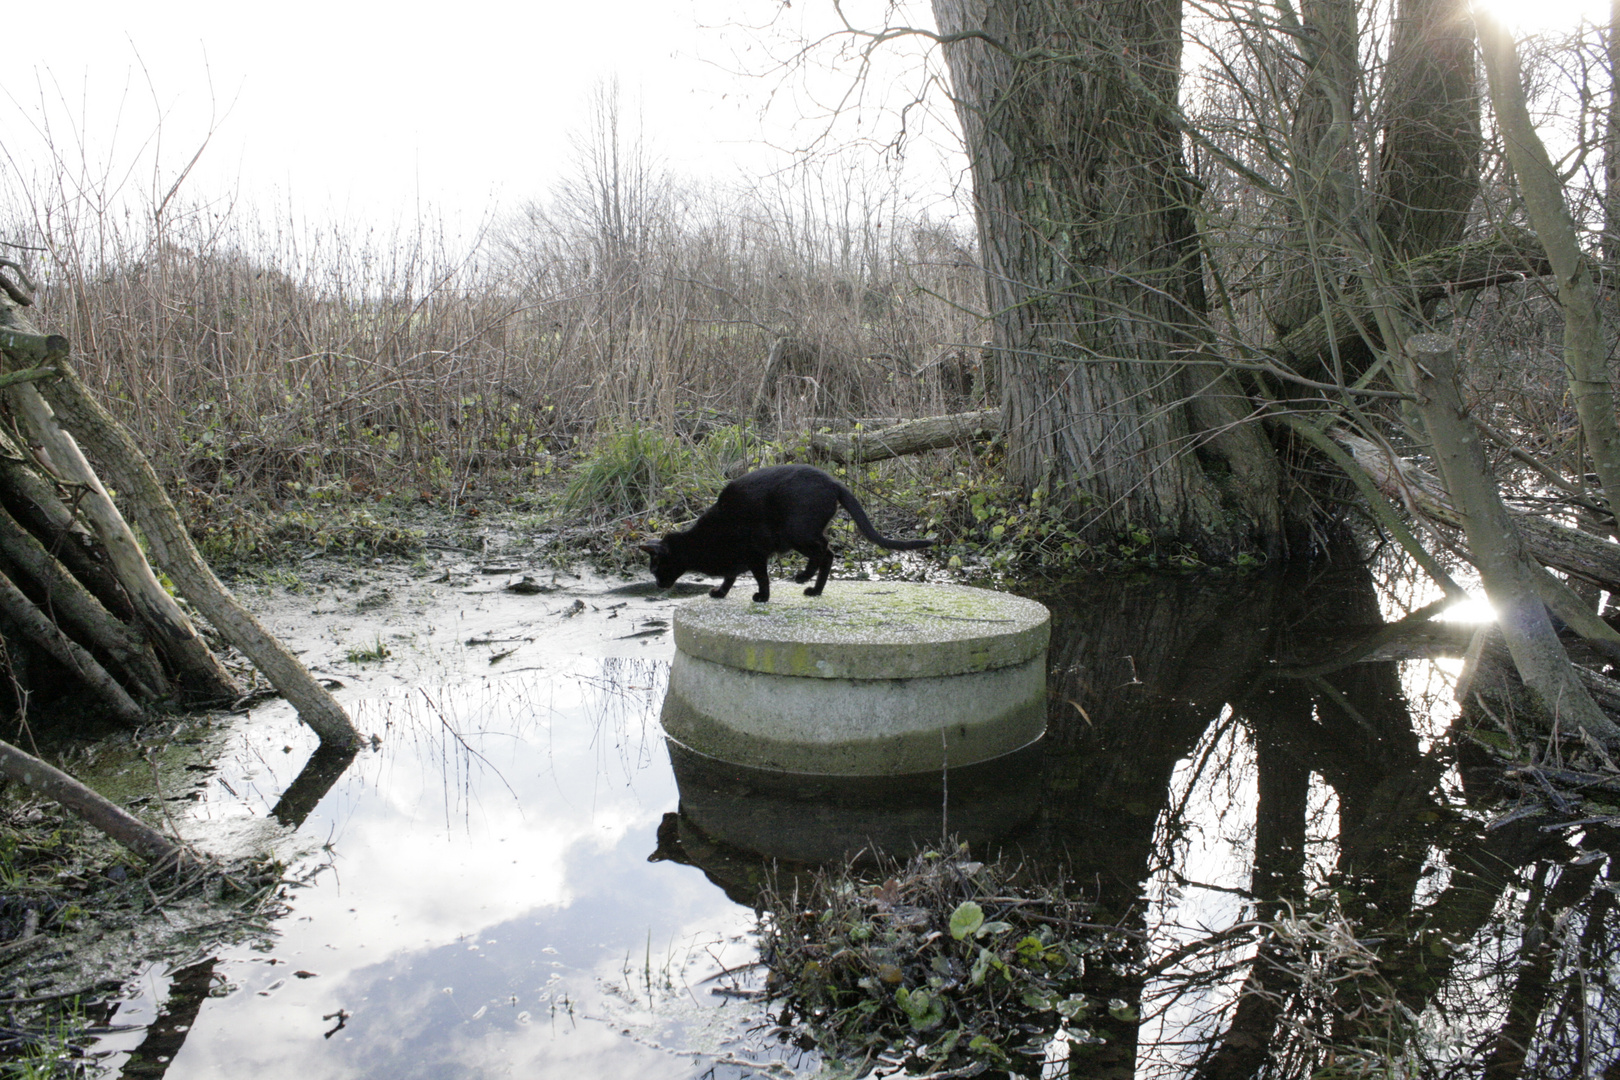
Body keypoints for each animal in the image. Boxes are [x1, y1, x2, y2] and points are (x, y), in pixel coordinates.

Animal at [638, 463, 933, 605]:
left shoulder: (756, 554)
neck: (700, 541)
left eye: (655, 569)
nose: (658, 584)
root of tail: (833, 481)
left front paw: (762, 598)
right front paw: (720, 592)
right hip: (803, 533)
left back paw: (805, 580)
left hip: (796, 533)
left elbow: (761, 578)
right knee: (827, 550)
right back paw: (814, 588)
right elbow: (730, 577)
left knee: (825, 552)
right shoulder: (737, 559)